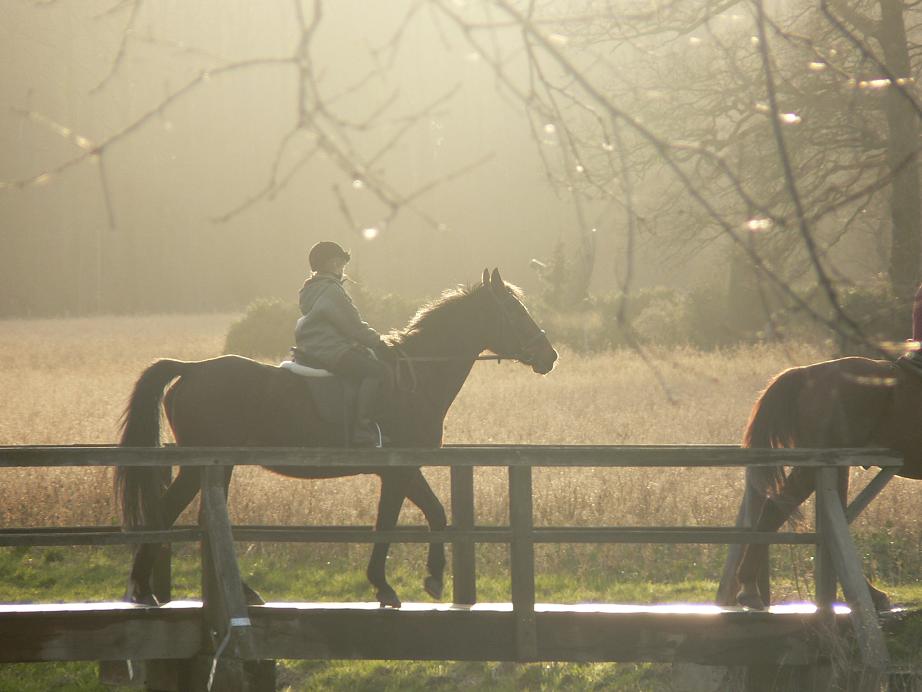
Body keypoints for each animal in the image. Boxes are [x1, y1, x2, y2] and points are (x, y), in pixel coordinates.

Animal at [118, 268, 556, 604]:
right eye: (514, 310)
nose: (549, 356)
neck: (416, 376)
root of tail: (191, 369)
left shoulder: (407, 469)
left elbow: (436, 513)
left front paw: (429, 578)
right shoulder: (397, 471)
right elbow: (391, 522)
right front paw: (388, 586)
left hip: (210, 467)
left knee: (192, 519)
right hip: (206, 465)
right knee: (172, 514)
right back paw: (151, 588)